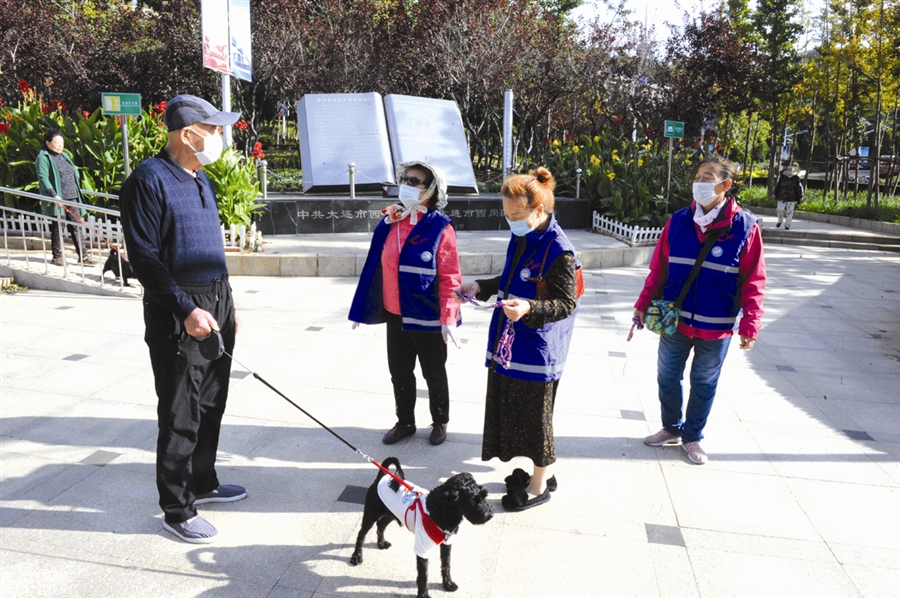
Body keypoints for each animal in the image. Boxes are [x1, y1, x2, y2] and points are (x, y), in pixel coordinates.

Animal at [350, 460, 492, 598]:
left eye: (484, 495)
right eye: (473, 501)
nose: (490, 515)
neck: (438, 510)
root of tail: (382, 476)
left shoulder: (447, 543)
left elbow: (446, 564)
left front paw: (448, 584)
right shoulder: (422, 549)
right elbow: (423, 574)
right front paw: (423, 593)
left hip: (391, 513)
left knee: (380, 524)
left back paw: (381, 543)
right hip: (371, 514)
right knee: (361, 534)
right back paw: (357, 556)